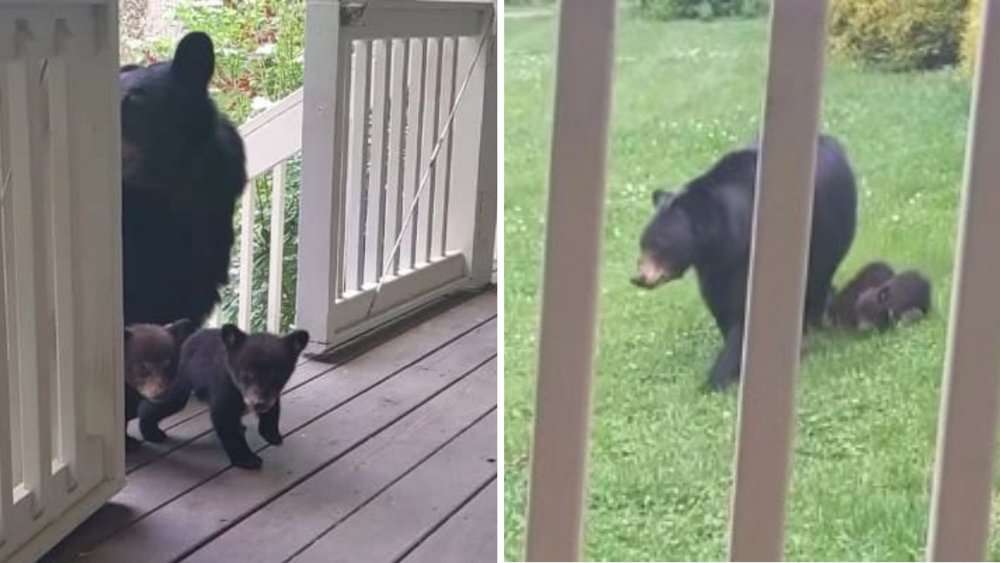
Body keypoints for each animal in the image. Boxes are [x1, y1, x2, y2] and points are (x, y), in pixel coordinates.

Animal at [137, 324, 310, 470]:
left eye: (277, 377)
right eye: (247, 375)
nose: (259, 403)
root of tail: (189, 338)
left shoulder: (273, 395)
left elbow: (273, 408)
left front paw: (272, 434)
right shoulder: (224, 393)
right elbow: (227, 426)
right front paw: (246, 458)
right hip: (181, 381)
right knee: (162, 403)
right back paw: (151, 432)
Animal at [632, 134, 857, 390]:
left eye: (660, 244)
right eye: (642, 243)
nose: (639, 277)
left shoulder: (747, 258)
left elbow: (744, 312)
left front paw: (716, 378)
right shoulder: (715, 267)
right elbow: (719, 304)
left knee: (819, 282)